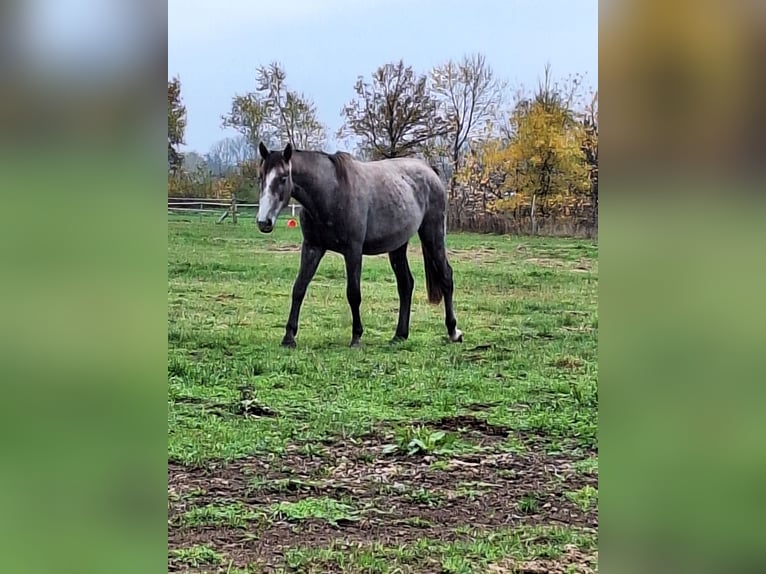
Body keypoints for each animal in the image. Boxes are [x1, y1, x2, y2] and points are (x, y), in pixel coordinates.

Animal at [256, 143, 462, 352]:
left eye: (283, 178)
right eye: (261, 177)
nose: (264, 222)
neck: (331, 191)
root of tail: (430, 171)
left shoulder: (353, 251)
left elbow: (353, 293)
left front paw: (356, 337)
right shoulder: (312, 248)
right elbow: (299, 288)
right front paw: (289, 337)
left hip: (432, 235)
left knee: (446, 276)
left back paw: (453, 331)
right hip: (398, 246)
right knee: (405, 284)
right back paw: (399, 335)